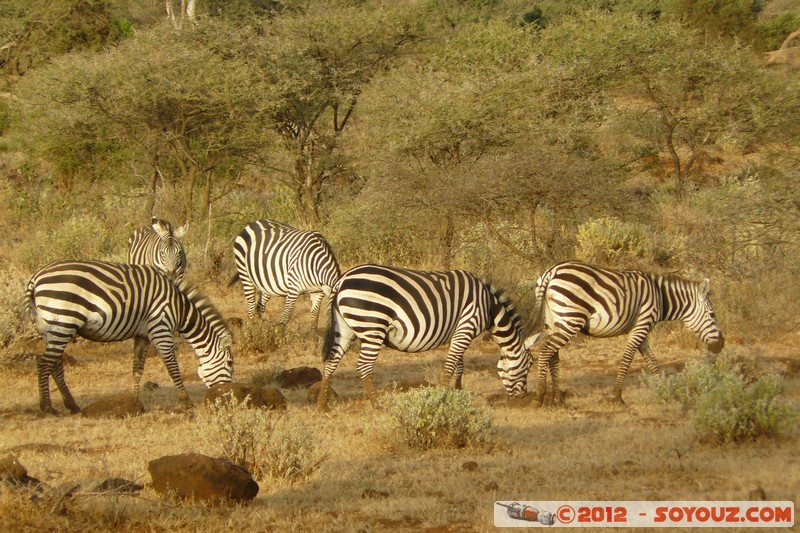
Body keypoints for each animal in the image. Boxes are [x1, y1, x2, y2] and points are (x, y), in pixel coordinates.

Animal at [18, 260, 233, 414]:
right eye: (230, 363)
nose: (227, 397)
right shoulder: (160, 328)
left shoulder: (143, 334)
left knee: (54, 365)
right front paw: (185, 401)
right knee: (44, 364)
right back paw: (47, 407)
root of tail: (36, 277)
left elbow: (137, 368)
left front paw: (135, 402)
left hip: (52, 327)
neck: (179, 308)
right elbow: (172, 366)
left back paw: (71, 405)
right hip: (63, 322)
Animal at [314, 264, 532, 410]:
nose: (523, 398)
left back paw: (322, 405)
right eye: (528, 366)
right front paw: (443, 397)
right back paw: (377, 405)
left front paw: (458, 393)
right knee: (364, 366)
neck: (489, 308)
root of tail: (341, 280)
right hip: (372, 327)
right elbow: (451, 366)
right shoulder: (467, 326)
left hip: (345, 328)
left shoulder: (459, 331)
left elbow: (459, 366)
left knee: (332, 361)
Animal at [524, 260, 724, 406]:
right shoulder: (642, 324)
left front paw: (667, 390)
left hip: (553, 323)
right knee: (546, 352)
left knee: (553, 356)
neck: (660, 297)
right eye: (712, 314)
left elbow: (652, 362)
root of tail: (551, 272)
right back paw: (539, 397)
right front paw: (617, 396)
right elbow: (628, 359)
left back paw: (557, 399)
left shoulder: (642, 330)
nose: (720, 345)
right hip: (571, 320)